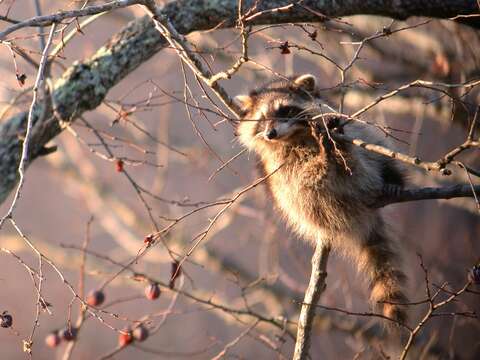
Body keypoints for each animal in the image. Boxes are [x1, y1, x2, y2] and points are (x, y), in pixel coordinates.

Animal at [234, 74, 406, 324]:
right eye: (262, 118)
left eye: (285, 110)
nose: (270, 134)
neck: (295, 136)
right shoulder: (275, 164)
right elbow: (297, 177)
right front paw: (318, 164)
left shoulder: (340, 124)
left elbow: (367, 136)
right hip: (305, 205)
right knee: (305, 190)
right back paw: (331, 162)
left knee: (367, 151)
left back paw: (353, 160)